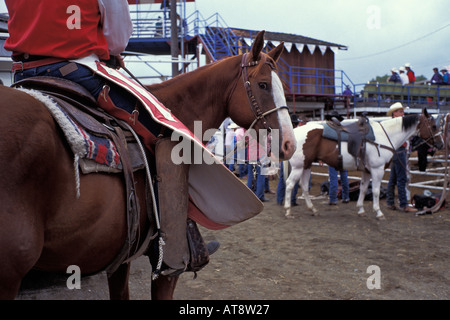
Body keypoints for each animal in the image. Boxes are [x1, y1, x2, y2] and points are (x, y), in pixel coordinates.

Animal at [284, 109, 442, 219]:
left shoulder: (366, 171)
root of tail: (293, 134)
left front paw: (361, 210)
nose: (440, 144)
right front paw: (378, 213)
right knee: (290, 184)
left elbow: (363, 189)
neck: (385, 136)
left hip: (306, 166)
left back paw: (313, 209)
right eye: (434, 126)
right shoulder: (377, 170)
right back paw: (287, 210)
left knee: (304, 187)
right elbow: (376, 191)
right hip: (298, 167)